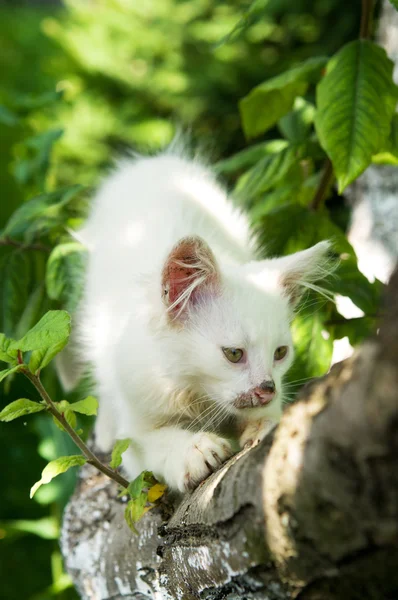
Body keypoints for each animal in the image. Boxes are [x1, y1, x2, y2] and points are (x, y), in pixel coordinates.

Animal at [64, 146, 330, 492]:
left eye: (280, 353)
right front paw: (194, 450)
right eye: (233, 354)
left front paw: (266, 424)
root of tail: (153, 162)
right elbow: (153, 442)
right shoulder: (135, 421)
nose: (267, 389)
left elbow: (267, 417)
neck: (193, 391)